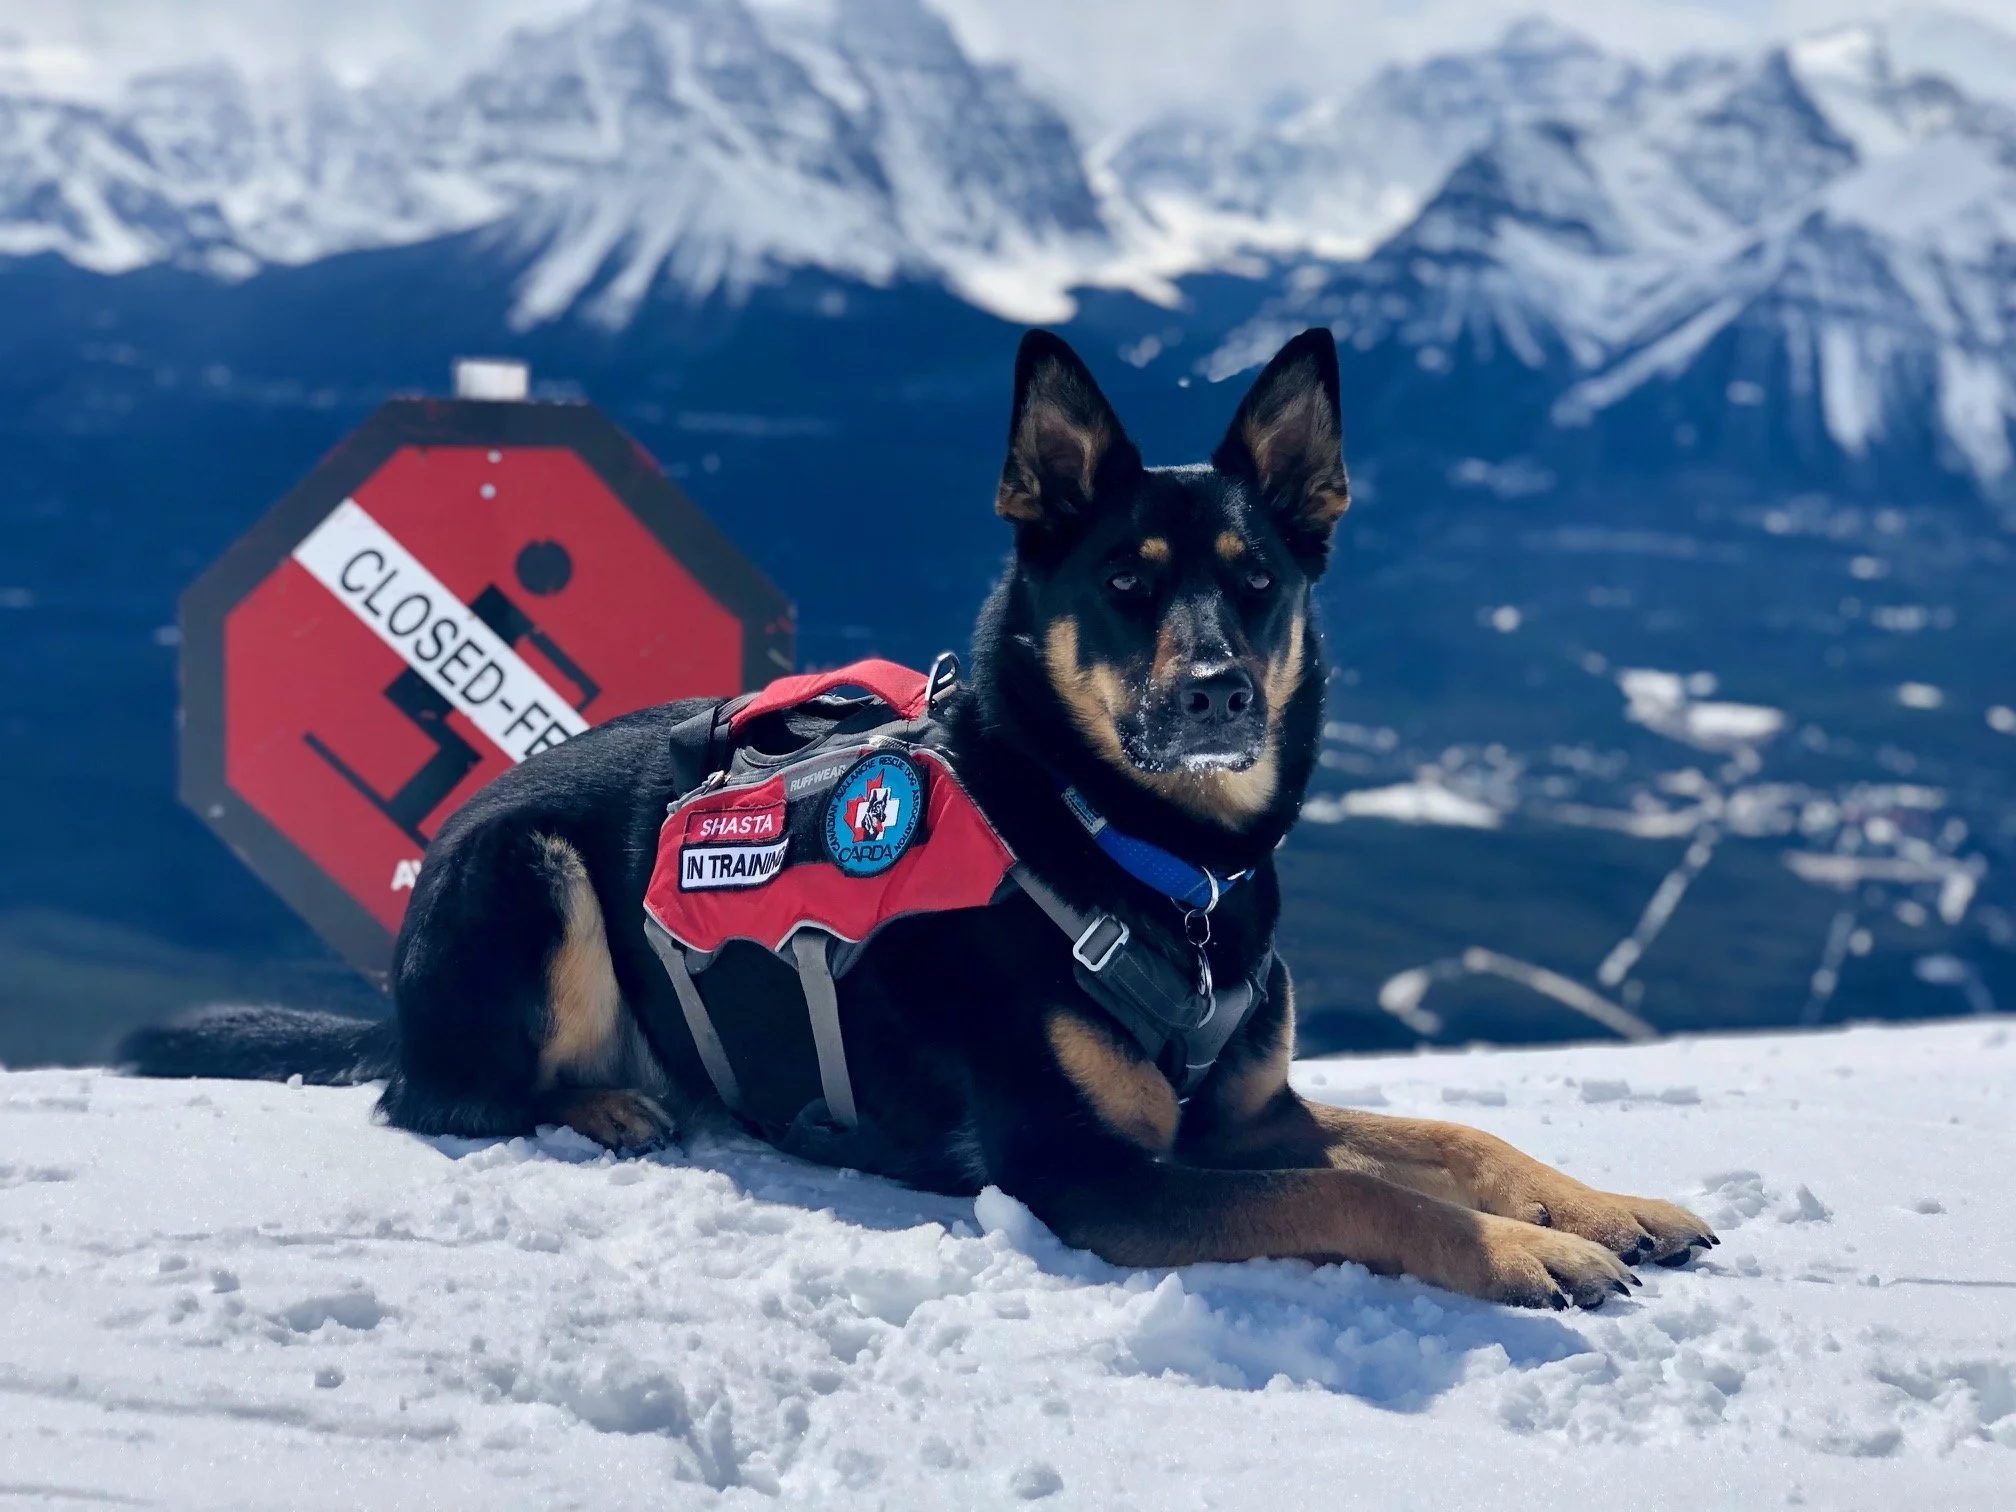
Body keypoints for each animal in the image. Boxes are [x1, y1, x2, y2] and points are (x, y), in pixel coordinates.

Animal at [125, 328, 1716, 1309]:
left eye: (1256, 582)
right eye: (1128, 585)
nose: (1216, 692)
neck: (1149, 860)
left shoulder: (1247, 1118)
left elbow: (1450, 1134)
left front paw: (1604, 1205)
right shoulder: (1091, 1177)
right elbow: (1375, 1202)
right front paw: (1521, 1257)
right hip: (534, 868)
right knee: (446, 1092)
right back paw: (613, 1101)